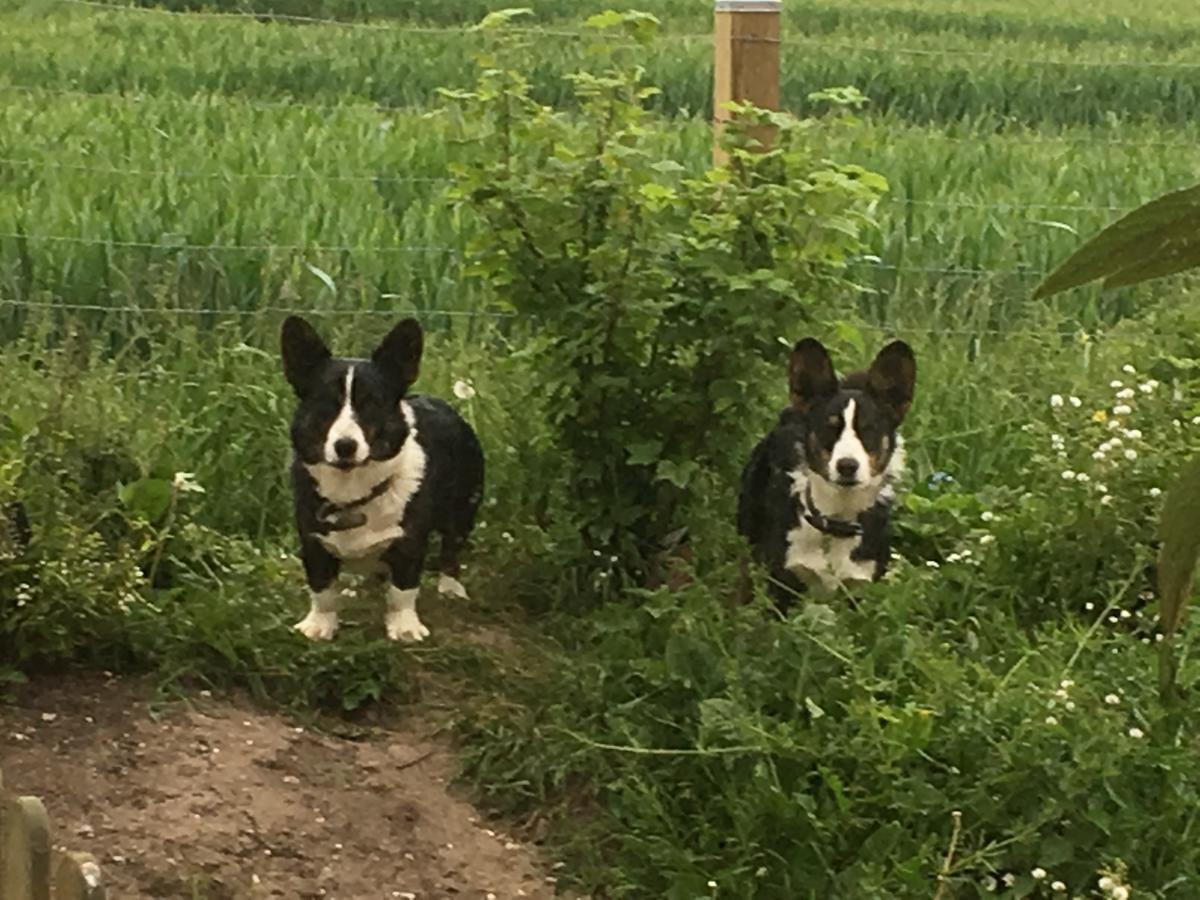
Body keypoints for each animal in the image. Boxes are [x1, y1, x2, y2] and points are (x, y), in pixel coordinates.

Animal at [280, 314, 482, 643]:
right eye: (326, 403)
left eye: (371, 403)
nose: (345, 446)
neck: (353, 488)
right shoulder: (313, 541)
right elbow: (322, 588)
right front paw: (319, 625)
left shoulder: (410, 542)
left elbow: (403, 589)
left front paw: (405, 627)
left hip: (464, 508)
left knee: (452, 549)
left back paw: (451, 587)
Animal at [729, 336, 916, 607]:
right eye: (829, 428)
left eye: (868, 429)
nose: (847, 465)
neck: (837, 519)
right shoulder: (780, 584)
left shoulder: (861, 590)